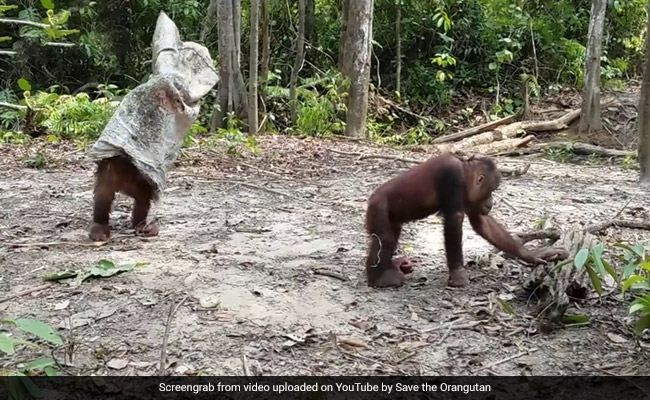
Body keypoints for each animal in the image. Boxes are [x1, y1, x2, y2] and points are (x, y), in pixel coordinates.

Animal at [365, 153, 569, 288]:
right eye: (491, 190)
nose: (491, 202)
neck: (464, 171)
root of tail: (371, 198)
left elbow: (483, 223)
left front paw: (535, 254)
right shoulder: (452, 176)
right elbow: (454, 220)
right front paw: (458, 274)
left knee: (391, 235)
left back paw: (395, 265)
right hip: (378, 206)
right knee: (385, 238)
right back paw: (379, 278)